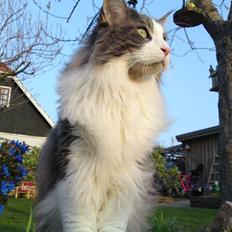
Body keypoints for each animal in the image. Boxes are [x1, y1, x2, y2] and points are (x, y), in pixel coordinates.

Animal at [35, 0, 170, 231]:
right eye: (142, 32)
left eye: (165, 38)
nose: (167, 50)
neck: (120, 92)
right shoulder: (75, 177)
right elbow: (80, 224)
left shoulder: (125, 182)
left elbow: (113, 225)